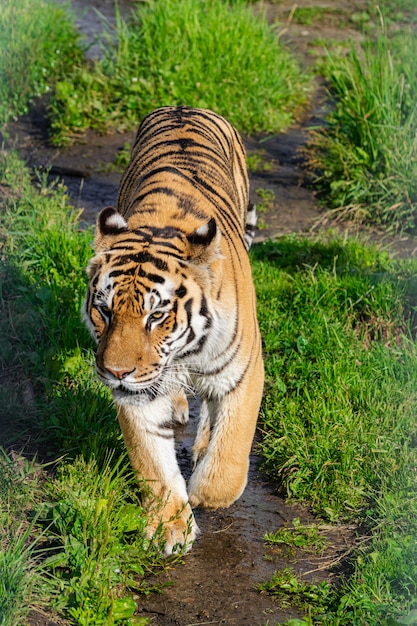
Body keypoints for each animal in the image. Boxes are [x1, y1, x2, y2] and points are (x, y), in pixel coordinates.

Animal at [83, 106, 264, 552]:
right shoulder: (137, 394)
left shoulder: (245, 371)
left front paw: (205, 494)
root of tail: (186, 106)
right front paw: (170, 526)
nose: (115, 372)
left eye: (156, 316)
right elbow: (151, 460)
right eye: (104, 311)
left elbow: (232, 446)